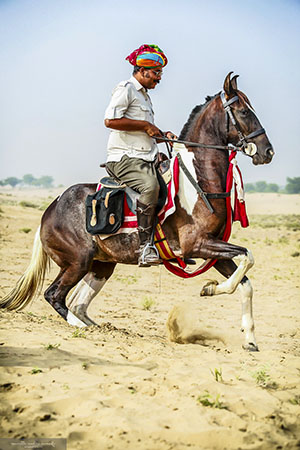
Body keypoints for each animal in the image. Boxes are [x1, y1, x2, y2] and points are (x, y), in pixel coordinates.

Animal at [0, 72, 274, 350]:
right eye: (243, 111)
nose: (267, 152)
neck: (199, 181)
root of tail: (50, 209)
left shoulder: (214, 248)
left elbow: (244, 281)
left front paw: (249, 338)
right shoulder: (197, 244)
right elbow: (248, 258)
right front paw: (209, 288)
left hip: (102, 266)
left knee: (78, 304)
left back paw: (100, 328)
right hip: (78, 261)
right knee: (55, 295)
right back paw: (81, 327)